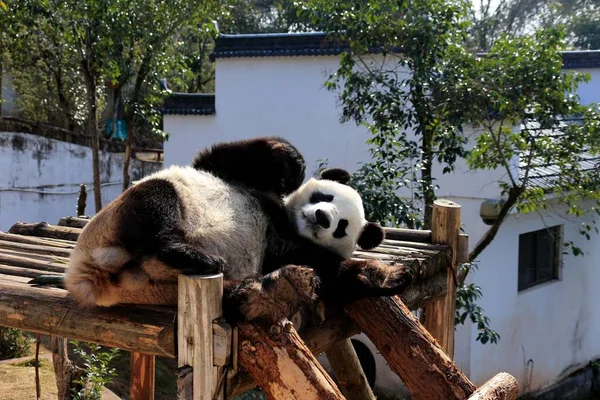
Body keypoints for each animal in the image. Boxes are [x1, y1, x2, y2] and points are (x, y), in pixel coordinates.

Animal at [65, 138, 412, 324]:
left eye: (342, 228)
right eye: (324, 196)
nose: (322, 218)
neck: (283, 220)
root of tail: (91, 275)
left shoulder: (290, 249)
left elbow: (332, 271)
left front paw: (388, 276)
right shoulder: (237, 175)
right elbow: (228, 156)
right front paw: (292, 168)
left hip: (162, 290)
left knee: (231, 293)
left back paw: (268, 292)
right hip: (120, 214)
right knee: (157, 203)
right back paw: (186, 253)